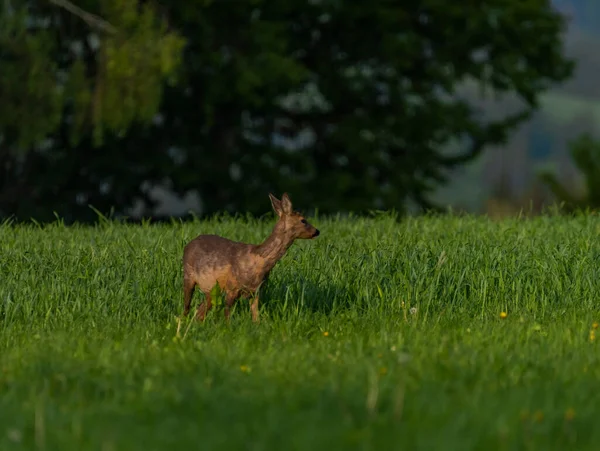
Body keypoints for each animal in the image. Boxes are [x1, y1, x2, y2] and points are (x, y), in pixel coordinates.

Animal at [182, 192, 318, 324]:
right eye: (303, 220)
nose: (317, 231)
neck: (259, 261)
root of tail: (189, 244)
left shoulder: (257, 291)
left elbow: (255, 315)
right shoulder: (232, 287)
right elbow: (227, 314)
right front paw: (227, 327)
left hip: (211, 288)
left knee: (200, 311)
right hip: (188, 276)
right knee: (187, 307)